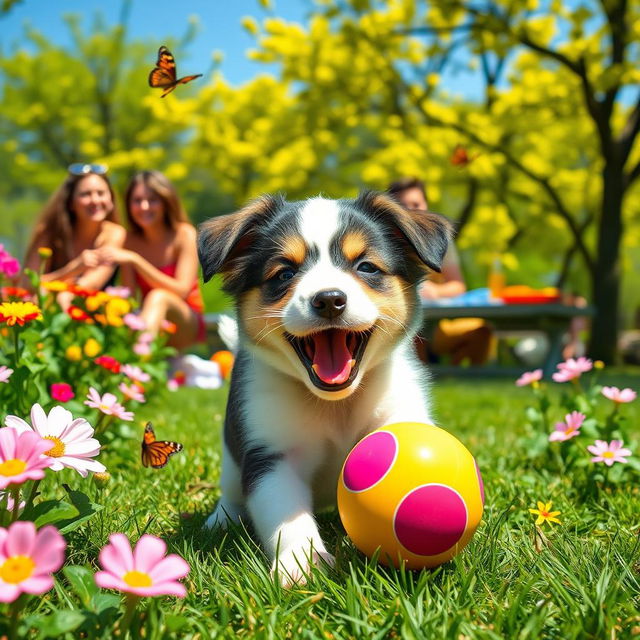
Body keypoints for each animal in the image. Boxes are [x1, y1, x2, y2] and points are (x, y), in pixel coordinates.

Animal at [198, 190, 452, 584]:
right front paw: (300, 563)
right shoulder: (270, 455)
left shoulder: (399, 412)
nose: (329, 299)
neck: (336, 404)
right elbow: (285, 512)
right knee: (232, 492)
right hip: (230, 455)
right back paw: (221, 520)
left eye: (366, 267)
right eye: (285, 273)